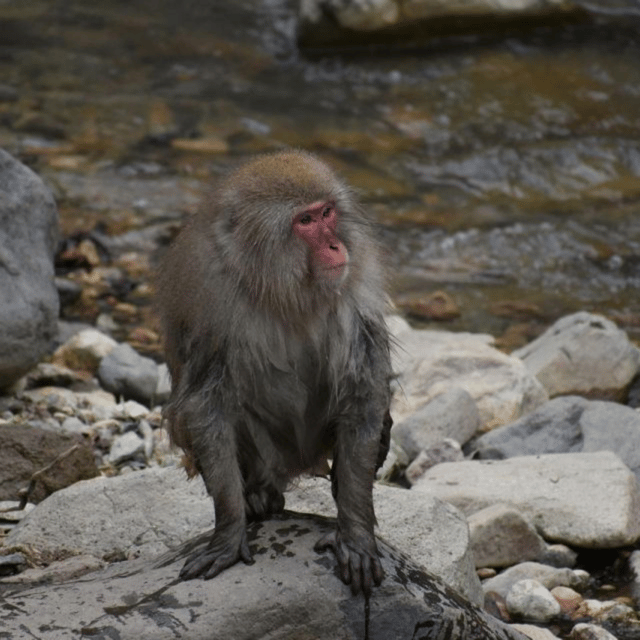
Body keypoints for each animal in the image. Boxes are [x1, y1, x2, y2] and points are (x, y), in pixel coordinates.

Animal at [158, 150, 392, 596]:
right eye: (305, 221)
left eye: (327, 213)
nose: (335, 245)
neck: (280, 287)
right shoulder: (212, 306)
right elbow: (205, 408)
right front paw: (229, 531)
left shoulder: (354, 291)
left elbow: (363, 394)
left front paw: (355, 535)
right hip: (269, 456)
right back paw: (256, 497)